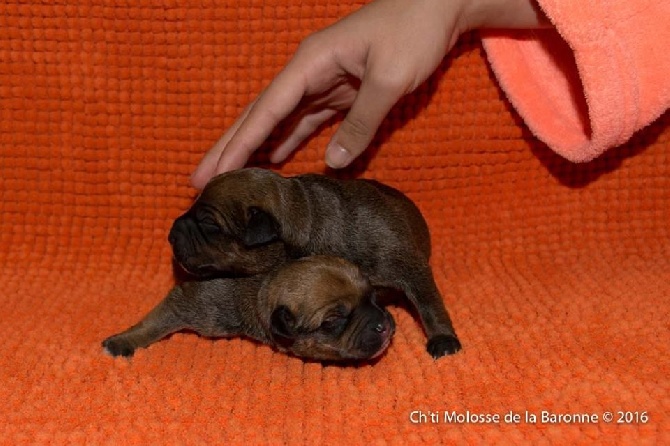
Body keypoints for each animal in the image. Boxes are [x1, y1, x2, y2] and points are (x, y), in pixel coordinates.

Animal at [103, 254, 396, 362]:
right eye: (332, 320)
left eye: (373, 296)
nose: (384, 325)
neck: (260, 289)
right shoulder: (190, 301)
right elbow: (153, 323)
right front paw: (123, 341)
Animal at [168, 167, 462, 358]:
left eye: (209, 224)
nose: (171, 235)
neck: (307, 213)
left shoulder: (408, 266)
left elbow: (429, 304)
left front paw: (443, 339)